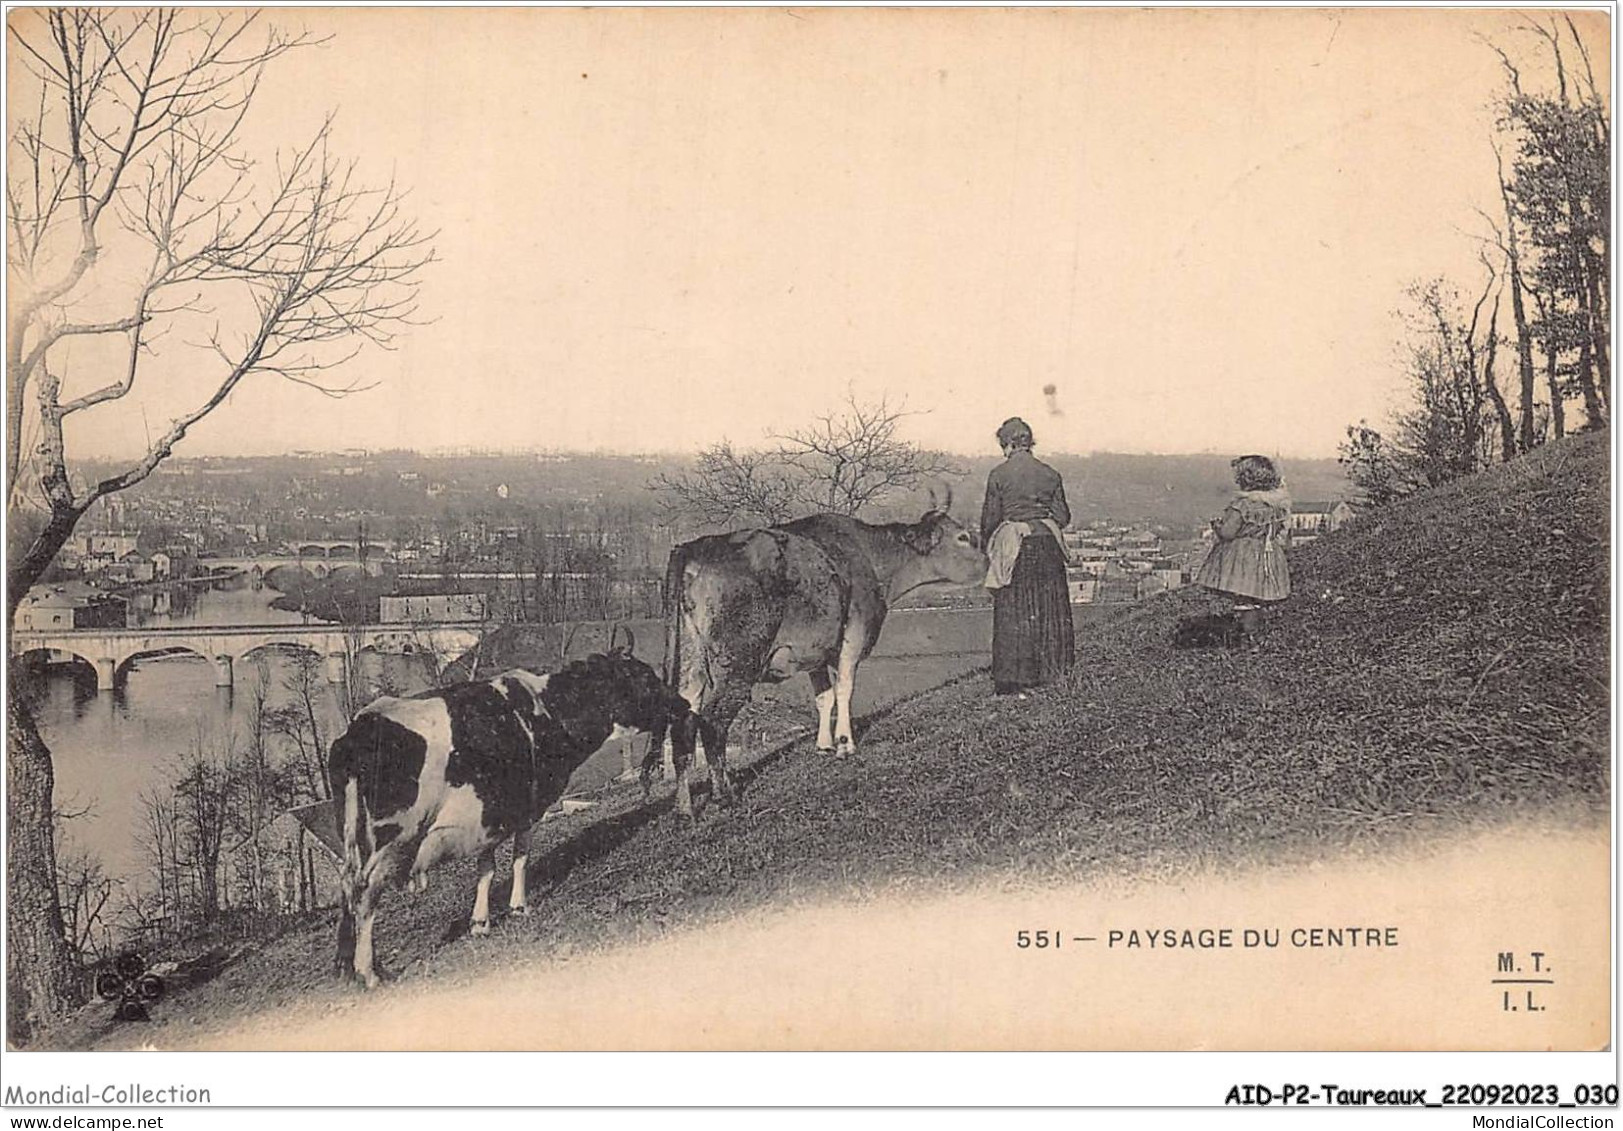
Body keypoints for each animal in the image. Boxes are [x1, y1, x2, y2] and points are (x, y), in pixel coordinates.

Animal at [326, 636, 688, 986]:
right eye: (643, 676)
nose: (683, 704)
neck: (549, 711)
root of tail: (359, 727)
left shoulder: (489, 815)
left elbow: (486, 869)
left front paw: (480, 922)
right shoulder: (529, 807)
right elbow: (520, 858)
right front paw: (518, 907)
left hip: (352, 835)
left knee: (346, 883)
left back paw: (344, 965)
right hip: (394, 837)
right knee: (366, 892)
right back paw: (369, 972)